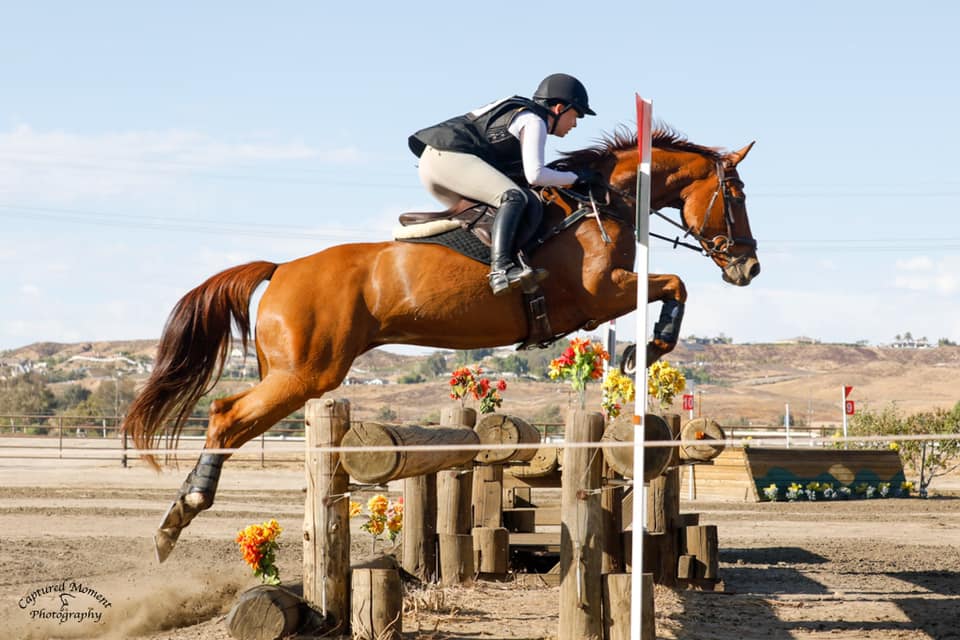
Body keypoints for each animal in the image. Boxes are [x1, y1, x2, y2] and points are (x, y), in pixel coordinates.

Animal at [125, 129, 756, 560]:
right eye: (737, 194)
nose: (748, 267)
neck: (603, 201)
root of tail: (281, 268)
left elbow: (673, 285)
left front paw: (639, 350)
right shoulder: (601, 294)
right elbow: (675, 283)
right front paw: (647, 348)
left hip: (296, 371)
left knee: (228, 414)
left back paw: (175, 517)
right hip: (306, 372)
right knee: (226, 417)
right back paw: (178, 516)